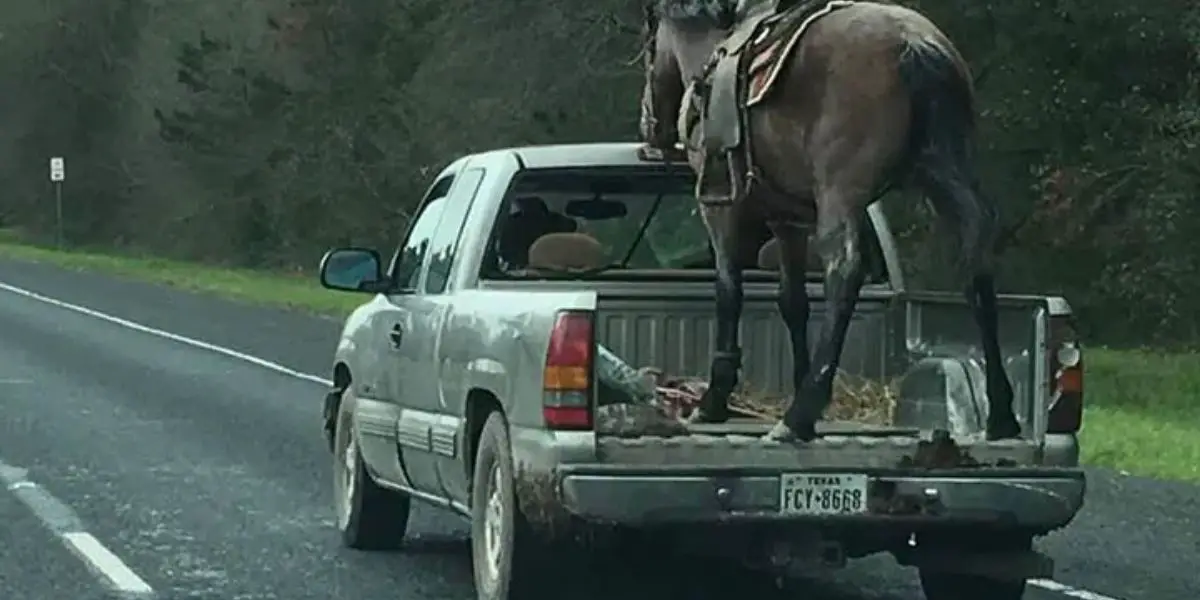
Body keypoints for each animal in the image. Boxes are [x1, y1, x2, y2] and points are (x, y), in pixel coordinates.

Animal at [638, 0, 1022, 441]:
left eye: (649, 46)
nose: (650, 129)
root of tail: (915, 43)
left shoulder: (721, 210)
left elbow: (728, 292)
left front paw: (714, 401)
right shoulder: (787, 222)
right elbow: (793, 302)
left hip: (843, 193)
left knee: (845, 270)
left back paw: (797, 417)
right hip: (944, 177)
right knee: (975, 260)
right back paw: (1002, 414)